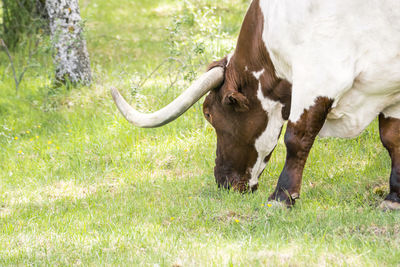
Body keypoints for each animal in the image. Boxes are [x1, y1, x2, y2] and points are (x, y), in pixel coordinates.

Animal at [111, 0, 400, 209]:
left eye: (208, 114)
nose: (223, 183)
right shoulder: (390, 88)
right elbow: (392, 139)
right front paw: (393, 198)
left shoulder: (319, 75)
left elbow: (297, 138)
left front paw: (281, 197)